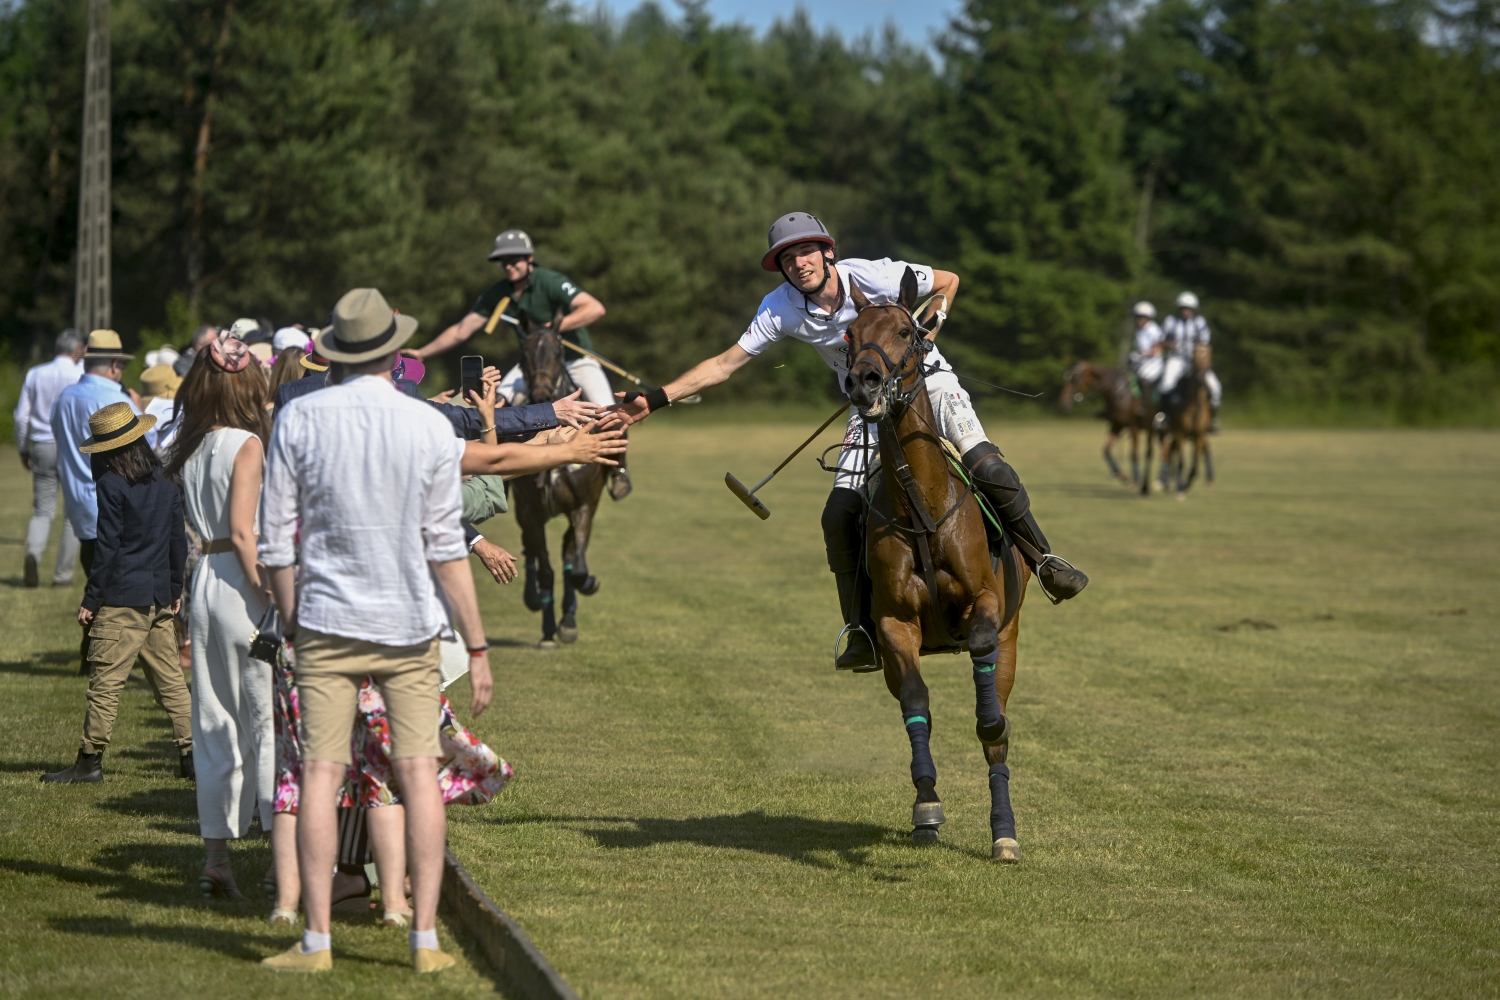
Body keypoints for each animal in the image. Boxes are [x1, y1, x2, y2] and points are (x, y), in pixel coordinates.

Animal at [513, 320, 606, 650]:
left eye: (557, 351)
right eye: (524, 354)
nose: (541, 394)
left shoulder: (584, 505)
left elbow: (575, 568)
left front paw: (571, 615)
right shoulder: (530, 510)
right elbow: (546, 571)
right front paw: (548, 630)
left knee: (568, 553)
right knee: (531, 549)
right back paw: (533, 599)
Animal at [846, 269, 1032, 863]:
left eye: (908, 331)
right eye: (848, 335)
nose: (864, 383)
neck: (921, 506)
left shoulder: (987, 604)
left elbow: (986, 696)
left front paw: (989, 722)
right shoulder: (894, 624)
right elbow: (916, 702)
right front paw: (926, 805)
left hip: (1013, 638)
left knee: (997, 736)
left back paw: (1004, 831)